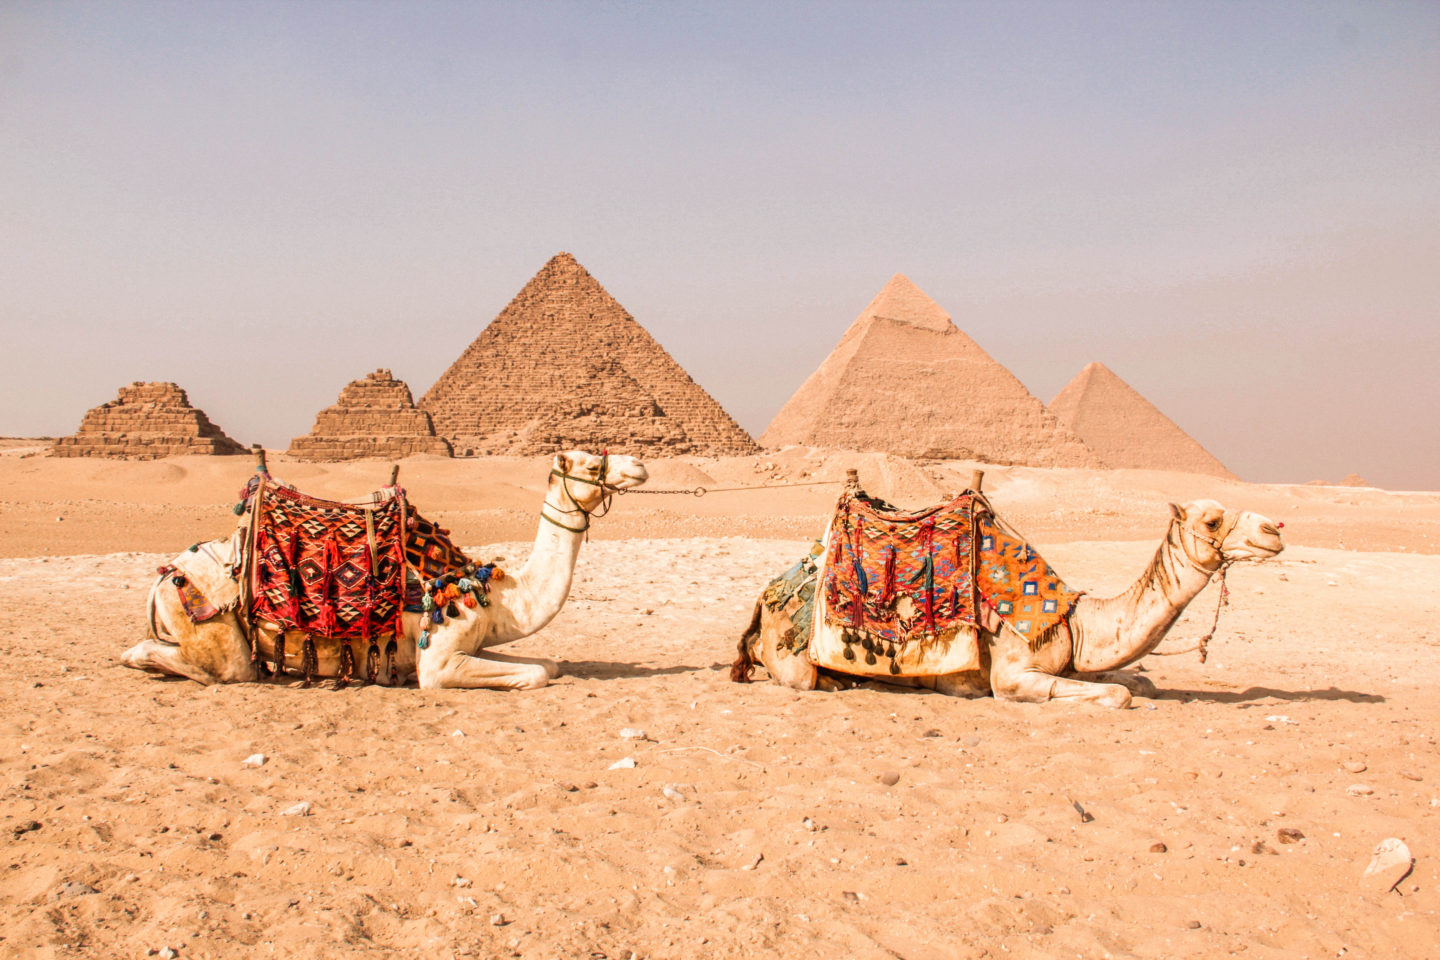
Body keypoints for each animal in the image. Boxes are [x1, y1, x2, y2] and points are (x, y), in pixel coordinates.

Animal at [120, 451, 650, 690]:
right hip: (216, 632)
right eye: (589, 464)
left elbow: (548, 663)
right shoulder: (439, 662)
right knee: (220, 667)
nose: (640, 465)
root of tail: (165, 575)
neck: (494, 593)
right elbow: (537, 674)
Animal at [737, 500, 1290, 711]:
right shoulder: (1012, 676)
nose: (1274, 530)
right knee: (798, 676)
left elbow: (1135, 682)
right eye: (1212, 520)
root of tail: (769, 596)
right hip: (793, 661)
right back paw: (835, 681)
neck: (1073, 621)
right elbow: (1117, 695)